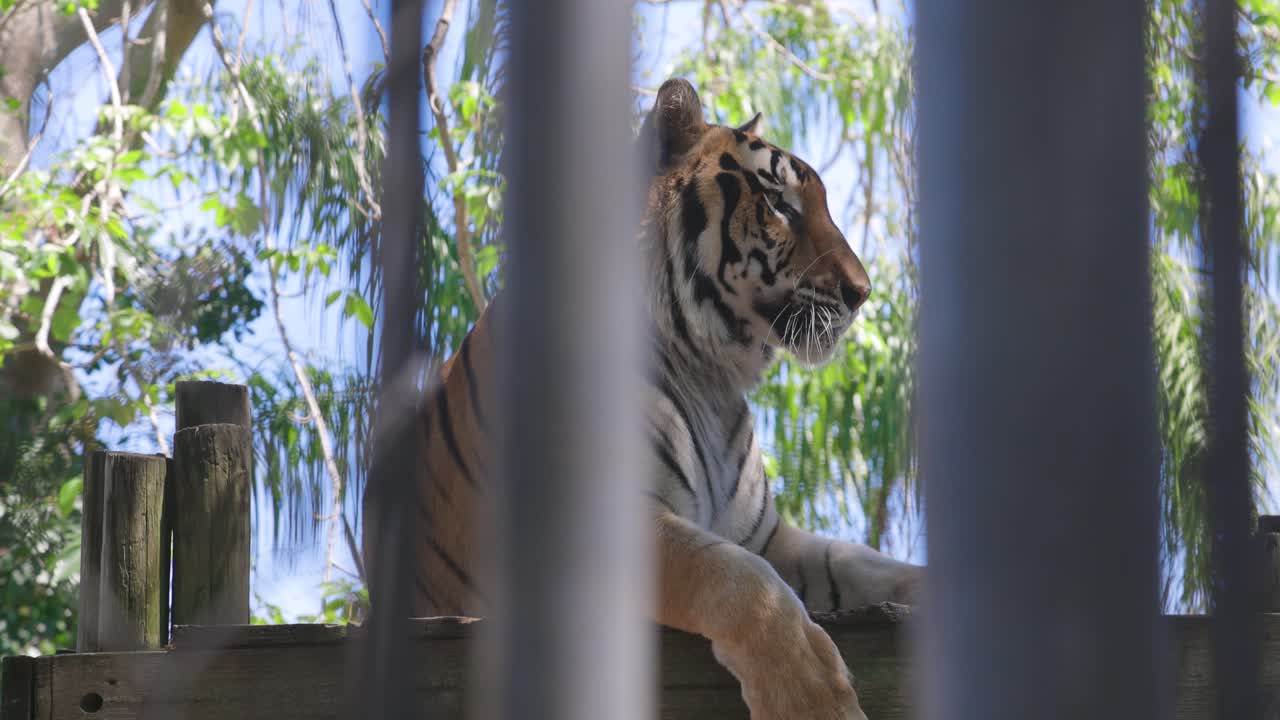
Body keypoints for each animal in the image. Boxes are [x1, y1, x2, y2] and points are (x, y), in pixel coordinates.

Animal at [362, 78, 923, 720]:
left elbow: (859, 563)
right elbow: (739, 578)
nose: (862, 293)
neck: (712, 374)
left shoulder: (765, 535)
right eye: (780, 204)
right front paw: (811, 698)